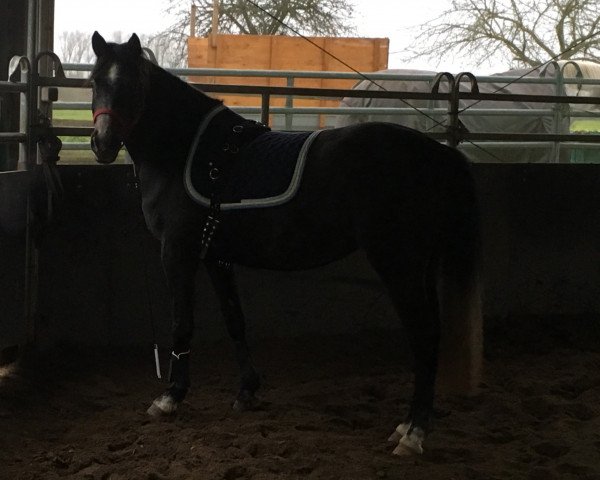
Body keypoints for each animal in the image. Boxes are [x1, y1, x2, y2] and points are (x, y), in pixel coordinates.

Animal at [88, 31, 482, 456]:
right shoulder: (216, 256)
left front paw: (170, 398)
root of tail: (438, 153)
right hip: (421, 266)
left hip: (399, 265)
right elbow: (235, 320)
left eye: (132, 84)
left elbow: (182, 323)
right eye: (95, 81)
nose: (103, 143)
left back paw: (413, 435)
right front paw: (246, 391)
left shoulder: (179, 253)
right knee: (433, 335)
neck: (186, 151)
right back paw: (407, 426)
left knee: (423, 337)